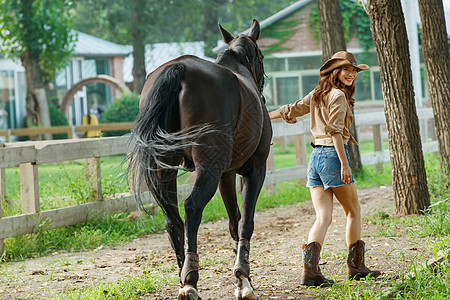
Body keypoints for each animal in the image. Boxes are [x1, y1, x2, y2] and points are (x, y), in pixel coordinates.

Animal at [128, 19, 272, 300]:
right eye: (260, 56)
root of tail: (179, 68)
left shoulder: (226, 175)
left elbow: (234, 221)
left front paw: (242, 277)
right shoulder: (254, 170)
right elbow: (245, 223)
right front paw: (243, 278)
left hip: (164, 170)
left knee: (173, 221)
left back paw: (184, 276)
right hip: (208, 169)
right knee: (192, 207)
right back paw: (191, 280)